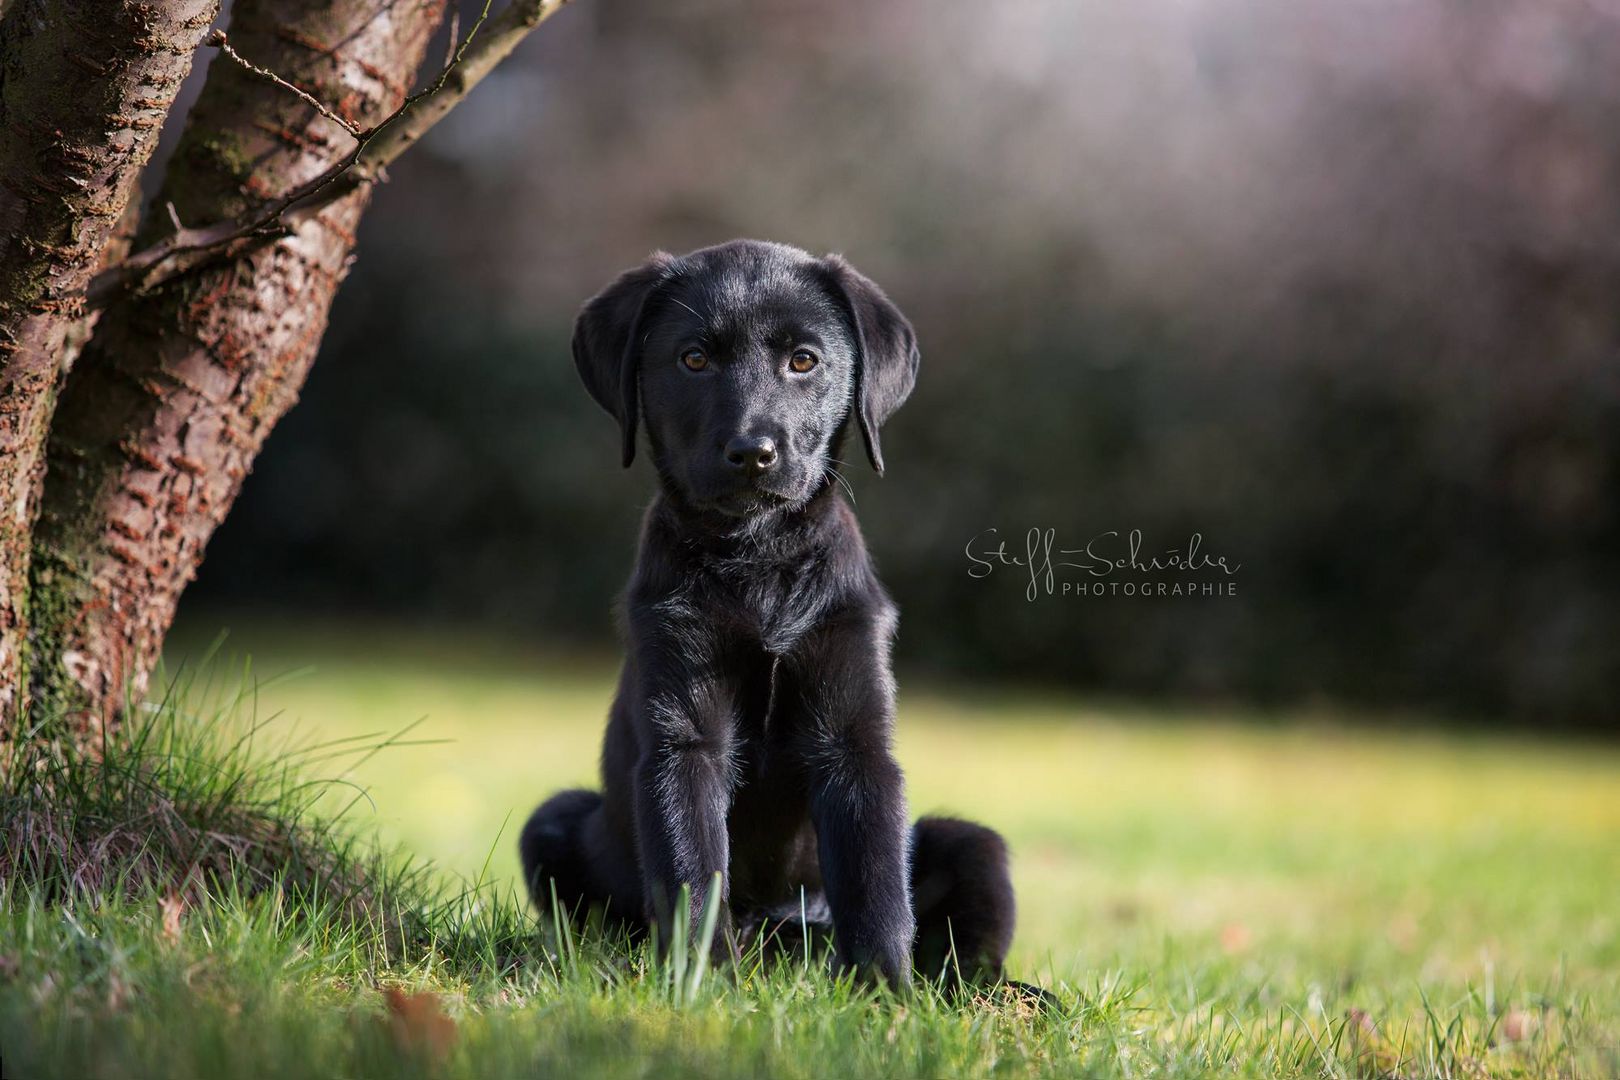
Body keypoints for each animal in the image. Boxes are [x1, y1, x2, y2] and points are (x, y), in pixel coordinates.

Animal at [521, 241, 1010, 990]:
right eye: (694, 359)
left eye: (804, 360)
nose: (753, 453)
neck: (760, 558)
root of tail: (781, 933)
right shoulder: (684, 738)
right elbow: (694, 872)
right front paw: (704, 986)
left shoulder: (854, 738)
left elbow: (875, 883)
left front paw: (884, 993)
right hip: (554, 822)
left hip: (974, 846)